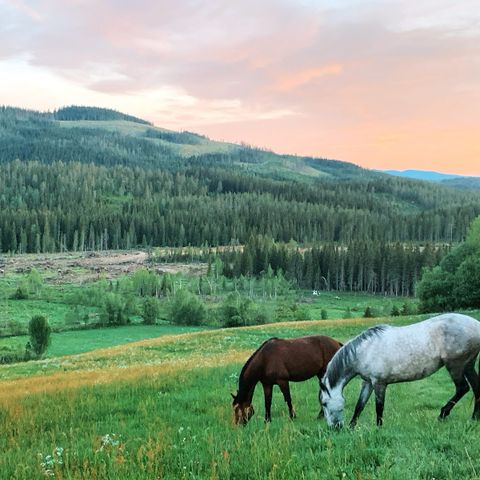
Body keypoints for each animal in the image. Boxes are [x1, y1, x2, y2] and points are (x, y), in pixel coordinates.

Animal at [320, 314, 480, 430]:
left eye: (325, 403)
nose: (335, 428)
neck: (365, 350)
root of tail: (476, 325)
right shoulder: (367, 383)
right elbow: (359, 406)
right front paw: (352, 427)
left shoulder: (379, 383)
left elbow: (379, 407)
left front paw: (379, 429)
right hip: (468, 365)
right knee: (476, 388)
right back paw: (474, 419)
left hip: (455, 365)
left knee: (462, 388)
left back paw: (443, 414)